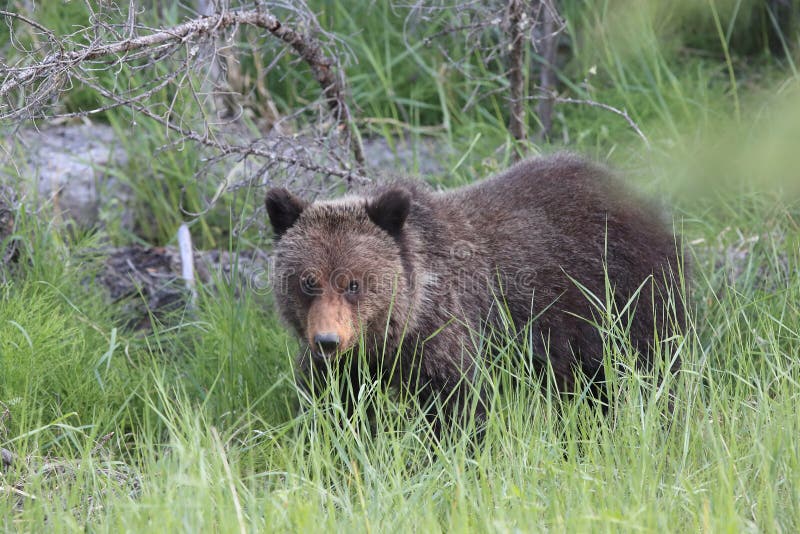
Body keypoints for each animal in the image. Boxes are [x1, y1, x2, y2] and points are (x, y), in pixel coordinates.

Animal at [265, 153, 687, 428]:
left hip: (625, 298)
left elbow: (458, 407)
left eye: (353, 283)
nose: (327, 340)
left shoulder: (445, 336)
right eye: (308, 281)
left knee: (646, 372)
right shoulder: (347, 368)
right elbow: (332, 411)